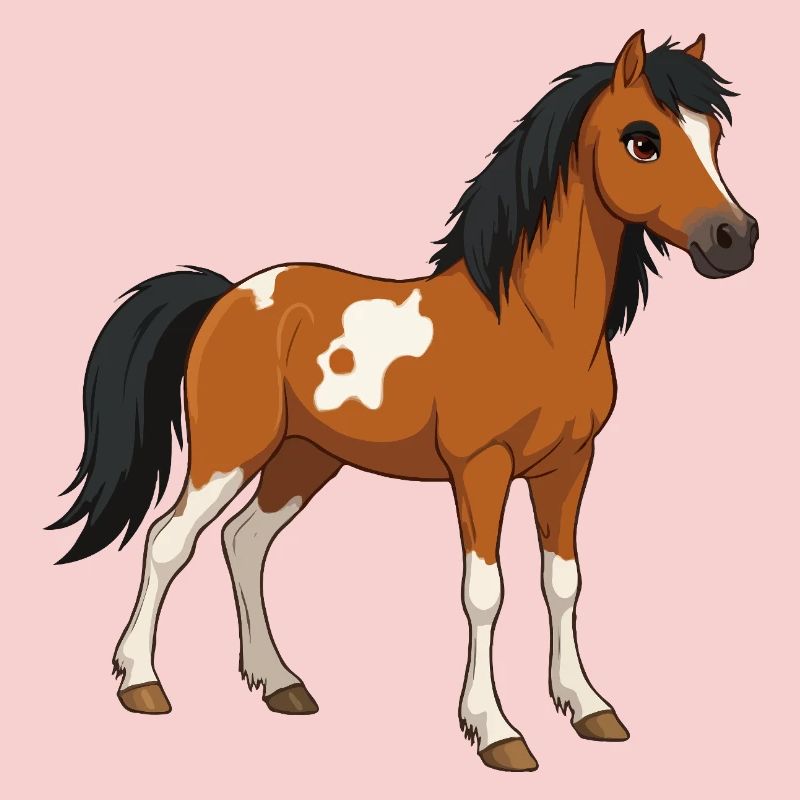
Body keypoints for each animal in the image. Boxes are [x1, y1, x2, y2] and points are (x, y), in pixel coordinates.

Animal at [49, 30, 758, 772]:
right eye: (642, 140)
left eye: (713, 135)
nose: (735, 239)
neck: (531, 325)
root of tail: (229, 294)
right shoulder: (481, 469)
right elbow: (485, 593)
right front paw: (495, 731)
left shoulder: (569, 466)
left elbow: (563, 582)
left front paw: (589, 707)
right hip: (230, 453)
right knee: (169, 542)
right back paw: (141, 683)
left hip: (305, 459)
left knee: (244, 542)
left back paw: (280, 684)